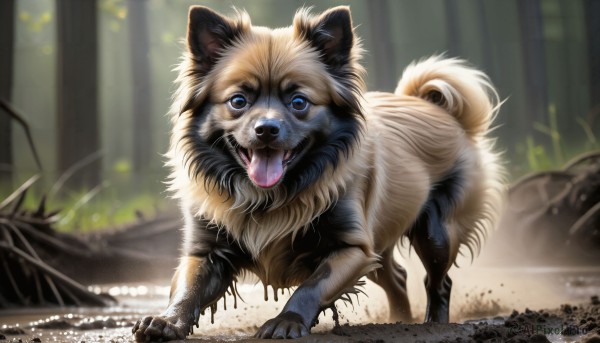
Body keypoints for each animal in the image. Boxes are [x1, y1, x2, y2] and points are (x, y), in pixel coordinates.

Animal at [134, 5, 504, 342]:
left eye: (299, 102)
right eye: (238, 101)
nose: (266, 129)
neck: (269, 195)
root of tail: (438, 110)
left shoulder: (351, 249)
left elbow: (312, 285)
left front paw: (287, 321)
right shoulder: (206, 253)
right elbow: (188, 289)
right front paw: (167, 320)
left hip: (435, 234)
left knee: (438, 281)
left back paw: (432, 323)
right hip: (380, 245)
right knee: (398, 277)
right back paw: (400, 319)